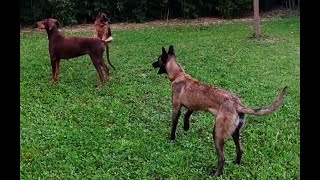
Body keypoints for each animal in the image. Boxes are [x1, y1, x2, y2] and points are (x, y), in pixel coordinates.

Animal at [151, 44, 288, 176]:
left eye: (158, 59)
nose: (152, 64)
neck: (179, 74)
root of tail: (237, 104)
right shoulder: (193, 105)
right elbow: (188, 114)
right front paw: (186, 126)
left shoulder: (176, 108)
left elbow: (174, 125)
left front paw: (171, 139)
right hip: (234, 133)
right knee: (240, 150)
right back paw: (236, 163)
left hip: (217, 133)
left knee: (222, 158)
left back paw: (216, 174)